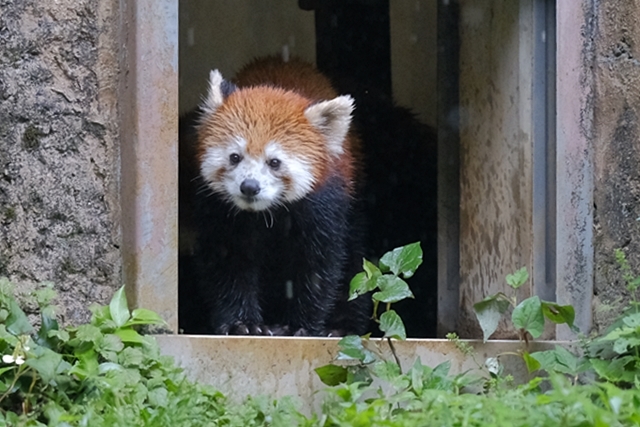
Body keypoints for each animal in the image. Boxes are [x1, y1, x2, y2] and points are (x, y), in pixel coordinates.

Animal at [185, 57, 370, 338]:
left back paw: (342, 327)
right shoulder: (217, 212)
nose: (249, 187)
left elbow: (318, 267)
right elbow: (228, 265)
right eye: (235, 157)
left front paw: (300, 326)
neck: (266, 215)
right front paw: (242, 324)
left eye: (274, 162)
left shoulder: (324, 208)